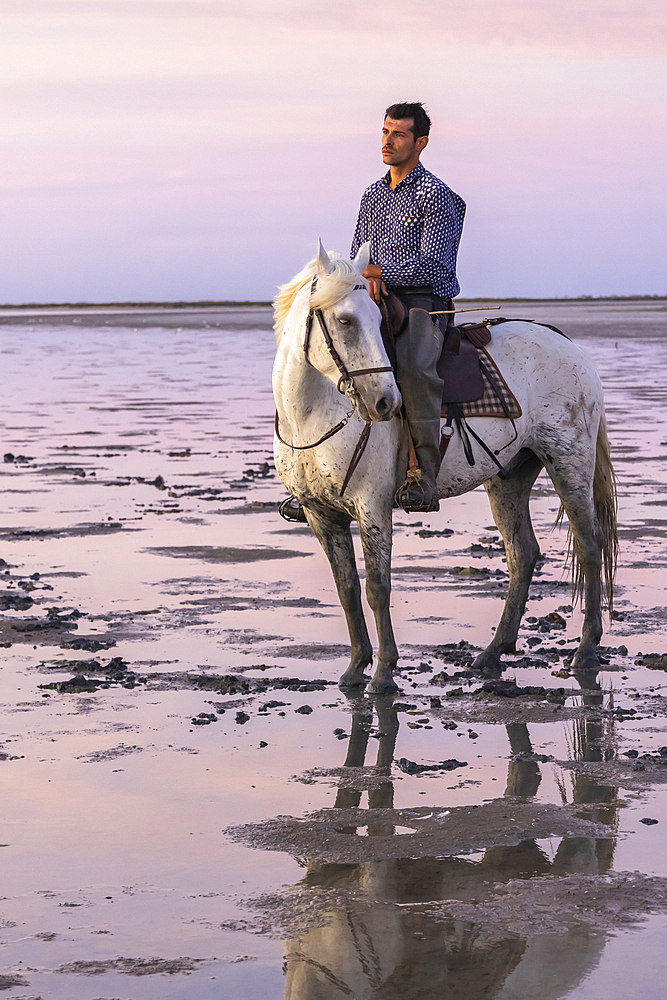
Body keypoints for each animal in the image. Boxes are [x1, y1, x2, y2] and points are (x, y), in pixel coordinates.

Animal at [274, 243, 620, 696]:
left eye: (376, 319)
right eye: (345, 320)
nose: (386, 403)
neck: (313, 415)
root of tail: (568, 344)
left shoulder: (372, 507)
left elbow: (377, 588)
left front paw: (383, 673)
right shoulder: (321, 515)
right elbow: (347, 588)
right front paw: (354, 669)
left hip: (569, 461)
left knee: (589, 545)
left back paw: (585, 651)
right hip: (509, 477)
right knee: (523, 554)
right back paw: (492, 654)